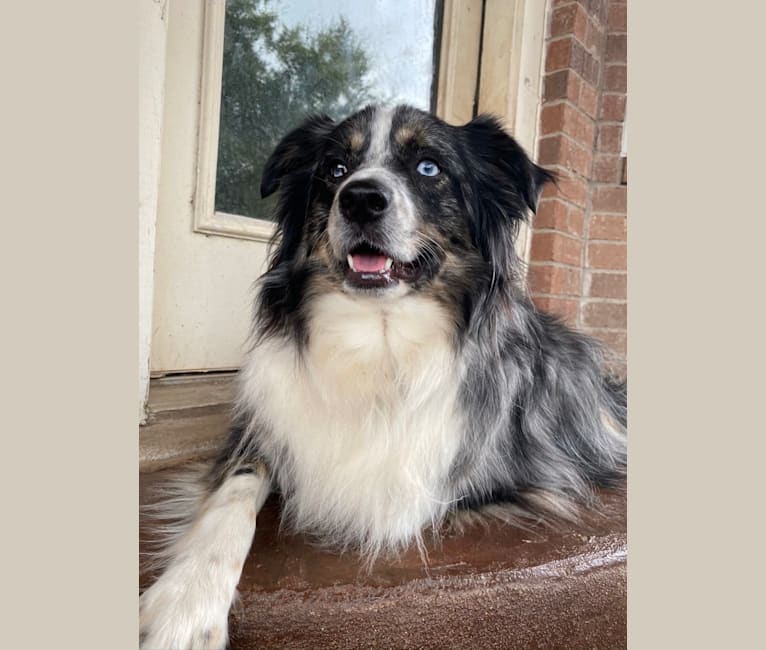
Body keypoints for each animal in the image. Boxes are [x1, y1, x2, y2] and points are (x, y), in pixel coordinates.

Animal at [140, 104, 632, 644]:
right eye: (334, 169)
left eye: (429, 168)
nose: (360, 198)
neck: (379, 339)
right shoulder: (259, 433)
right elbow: (231, 499)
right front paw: (186, 607)